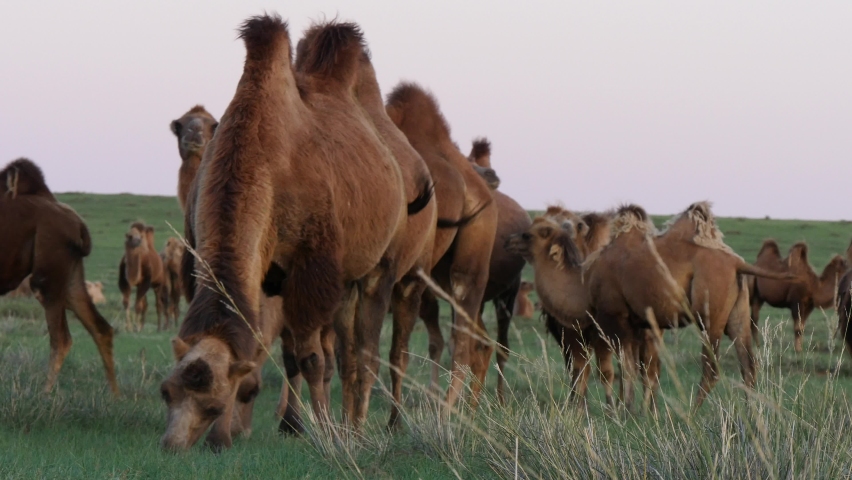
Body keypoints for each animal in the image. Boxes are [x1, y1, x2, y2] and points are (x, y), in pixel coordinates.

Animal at [0, 158, 118, 394]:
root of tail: (79, 224)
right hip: (71, 275)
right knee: (101, 328)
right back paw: (115, 397)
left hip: (48, 275)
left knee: (61, 339)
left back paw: (44, 395)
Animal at [160, 15, 430, 450]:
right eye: (166, 392)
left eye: (212, 404)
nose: (172, 445)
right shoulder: (260, 269)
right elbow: (263, 346)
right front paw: (232, 437)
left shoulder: (310, 266)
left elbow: (312, 359)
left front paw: (323, 433)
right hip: (345, 281)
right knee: (347, 353)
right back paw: (346, 421)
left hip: (388, 269)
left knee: (372, 352)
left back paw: (362, 427)